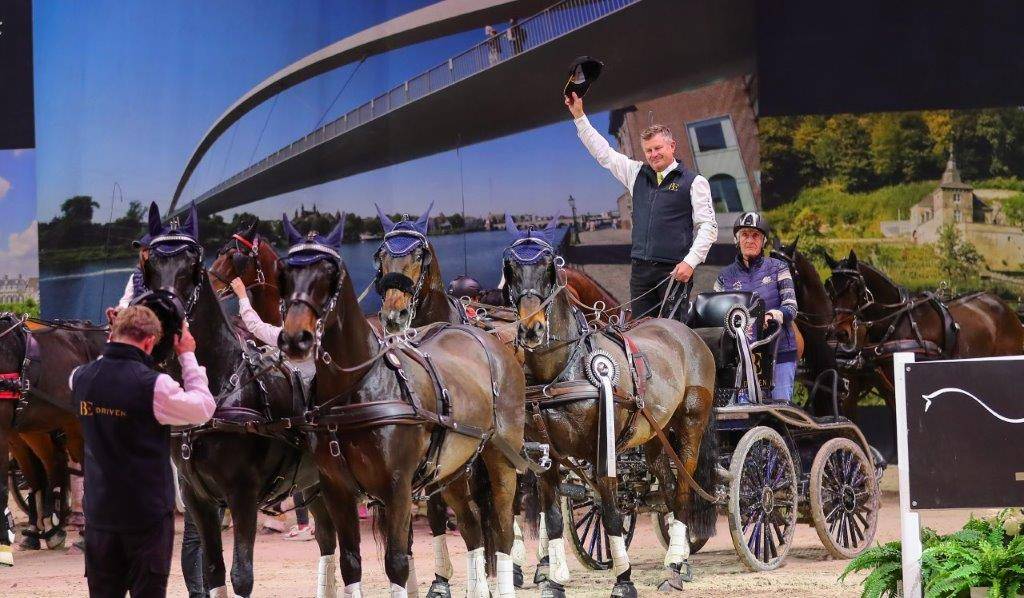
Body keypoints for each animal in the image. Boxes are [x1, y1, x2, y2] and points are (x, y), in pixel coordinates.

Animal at [141, 204, 338, 598]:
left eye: (192, 265)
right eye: (150, 263)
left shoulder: (243, 493)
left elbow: (241, 575)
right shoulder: (197, 497)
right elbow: (213, 571)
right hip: (316, 483)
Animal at [277, 214, 526, 598]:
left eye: (329, 273)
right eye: (286, 273)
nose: (294, 338)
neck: (356, 389)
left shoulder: (396, 487)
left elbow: (396, 560)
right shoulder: (336, 490)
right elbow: (351, 562)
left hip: (501, 459)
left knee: (500, 529)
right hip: (452, 467)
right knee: (471, 527)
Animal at [501, 215, 718, 596]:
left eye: (548, 267)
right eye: (510, 269)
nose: (531, 330)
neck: (562, 368)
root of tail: (686, 333)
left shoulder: (602, 451)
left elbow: (612, 514)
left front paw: (624, 580)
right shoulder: (546, 457)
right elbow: (553, 519)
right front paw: (552, 582)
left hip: (691, 425)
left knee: (683, 493)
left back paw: (675, 568)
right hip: (655, 438)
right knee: (667, 489)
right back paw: (679, 560)